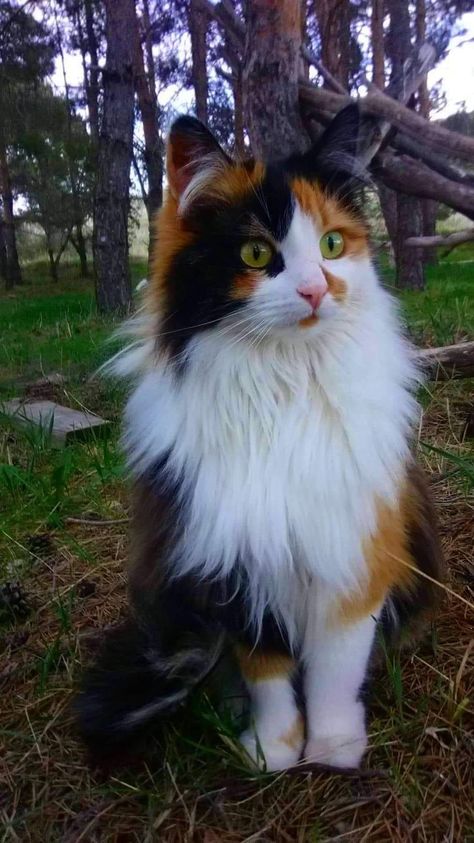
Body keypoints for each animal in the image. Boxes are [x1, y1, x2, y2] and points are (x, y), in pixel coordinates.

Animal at [76, 109, 442, 776]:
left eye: (331, 245)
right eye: (256, 253)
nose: (315, 290)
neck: (285, 387)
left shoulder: (353, 554)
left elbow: (333, 670)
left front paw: (333, 749)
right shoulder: (237, 564)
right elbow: (267, 672)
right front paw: (274, 750)